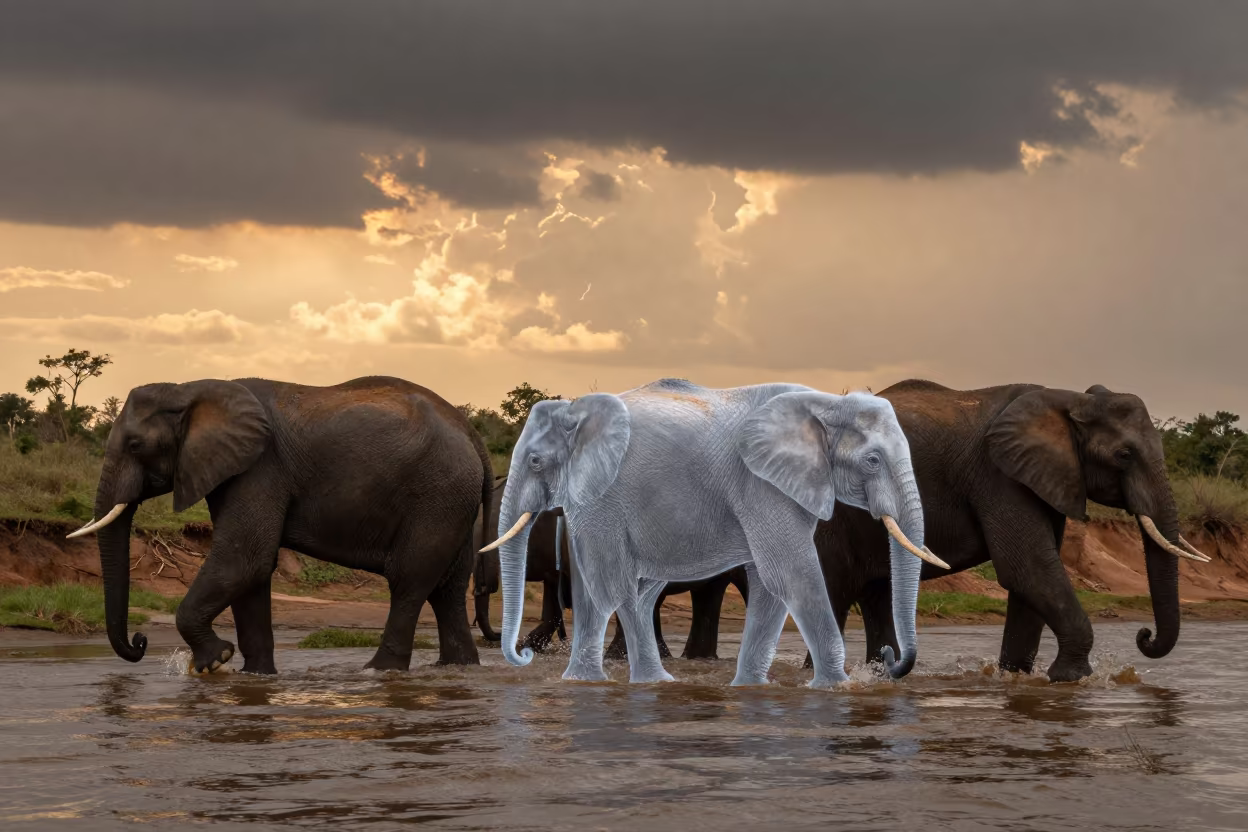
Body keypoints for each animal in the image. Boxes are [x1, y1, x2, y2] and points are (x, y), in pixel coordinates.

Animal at [68, 376, 494, 675]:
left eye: (135, 446)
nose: (139, 642)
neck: (189, 389)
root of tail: (471, 433)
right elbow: (252, 571)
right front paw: (254, 676)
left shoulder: (260, 468)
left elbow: (243, 560)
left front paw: (215, 661)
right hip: (452, 501)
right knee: (447, 589)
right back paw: (457, 668)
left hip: (437, 494)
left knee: (408, 581)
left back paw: (378, 672)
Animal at [795, 380, 1209, 682]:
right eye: (1124, 455)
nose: (1144, 635)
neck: (1068, 399)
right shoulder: (998, 476)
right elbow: (1027, 570)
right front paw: (1071, 679)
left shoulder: (1041, 479)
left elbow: (1031, 581)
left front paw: (1016, 678)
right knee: (833, 594)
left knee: (876, 593)